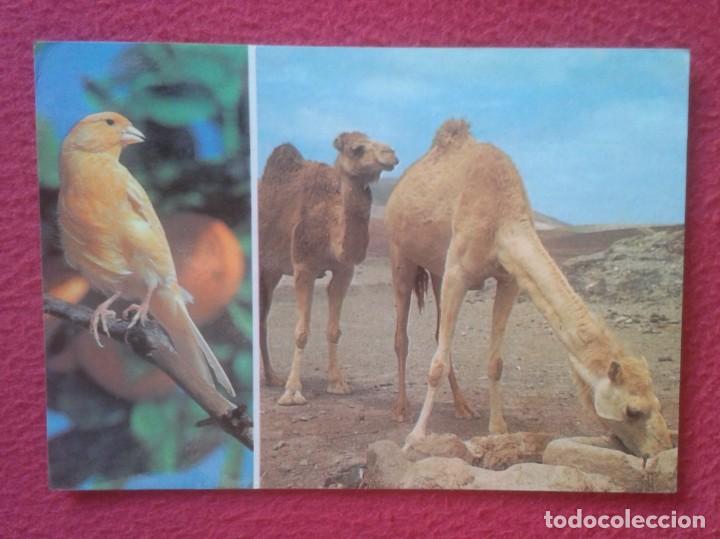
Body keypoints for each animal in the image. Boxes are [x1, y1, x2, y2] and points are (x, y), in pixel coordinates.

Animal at [259, 133, 398, 405]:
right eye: (356, 148)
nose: (391, 154)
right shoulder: (303, 268)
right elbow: (301, 332)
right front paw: (292, 392)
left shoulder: (345, 271)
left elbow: (334, 330)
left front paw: (338, 383)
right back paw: (272, 379)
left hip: (273, 271)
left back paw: (272, 377)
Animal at [385, 119, 672, 458]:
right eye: (632, 410)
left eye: (658, 402)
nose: (662, 448)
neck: (501, 217)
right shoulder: (458, 273)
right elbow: (436, 364)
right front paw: (415, 437)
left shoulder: (509, 279)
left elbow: (495, 362)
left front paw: (498, 428)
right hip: (401, 256)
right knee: (402, 336)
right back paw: (401, 409)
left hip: (437, 269)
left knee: (439, 336)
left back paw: (464, 407)